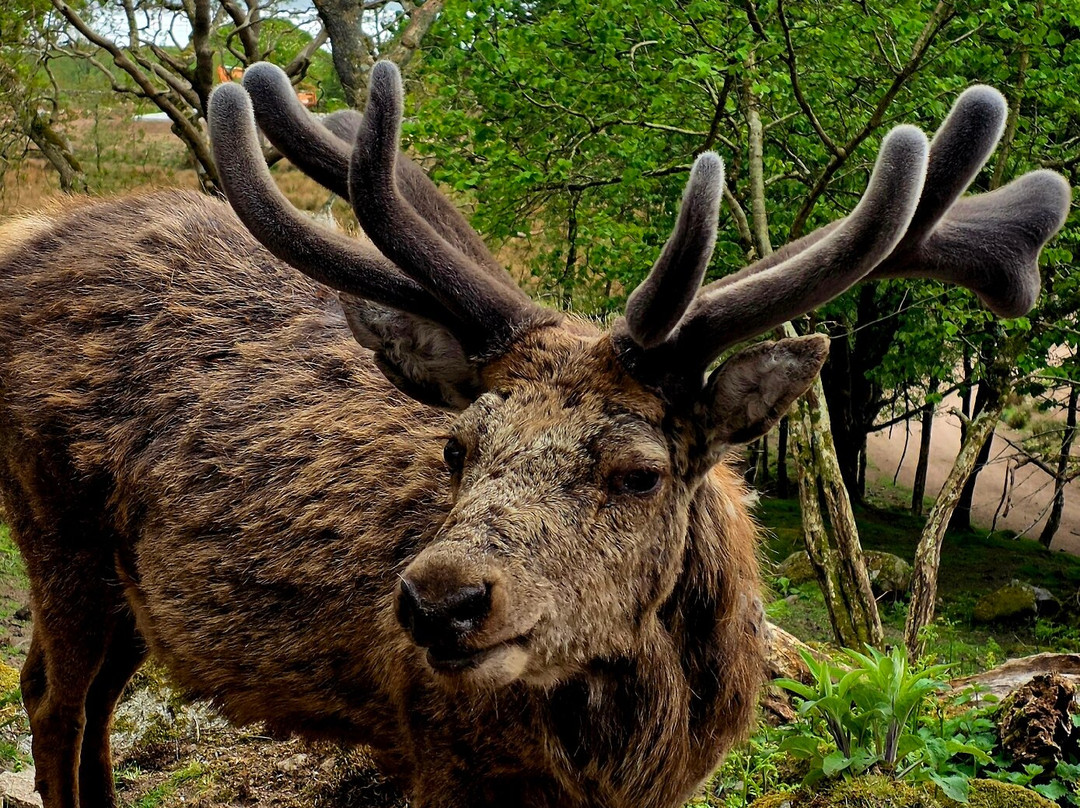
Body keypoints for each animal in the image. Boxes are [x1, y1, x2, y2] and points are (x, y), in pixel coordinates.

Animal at [0, 58, 1068, 808]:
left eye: (639, 472)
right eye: (456, 448)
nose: (438, 601)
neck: (630, 750)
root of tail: (24, 247)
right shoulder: (440, 757)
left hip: (129, 591)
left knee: (79, 700)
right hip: (56, 533)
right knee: (52, 700)